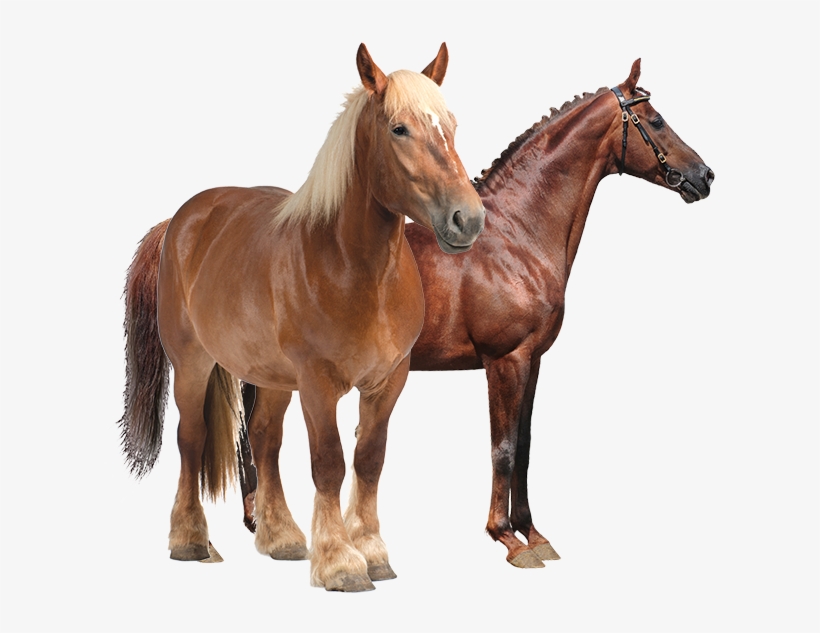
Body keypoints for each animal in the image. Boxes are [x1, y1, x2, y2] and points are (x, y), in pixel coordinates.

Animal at [118, 43, 486, 592]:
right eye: (399, 129)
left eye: (452, 125)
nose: (469, 219)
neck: (352, 267)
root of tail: (181, 220)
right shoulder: (318, 383)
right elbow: (329, 462)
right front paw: (340, 562)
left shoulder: (389, 381)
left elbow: (369, 460)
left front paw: (372, 551)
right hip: (192, 363)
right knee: (191, 439)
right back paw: (189, 540)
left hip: (272, 377)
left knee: (265, 440)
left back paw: (283, 538)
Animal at [235, 58, 715, 569]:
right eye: (656, 121)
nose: (704, 176)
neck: (515, 235)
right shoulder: (504, 360)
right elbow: (501, 449)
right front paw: (506, 537)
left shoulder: (532, 361)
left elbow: (524, 446)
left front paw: (533, 533)